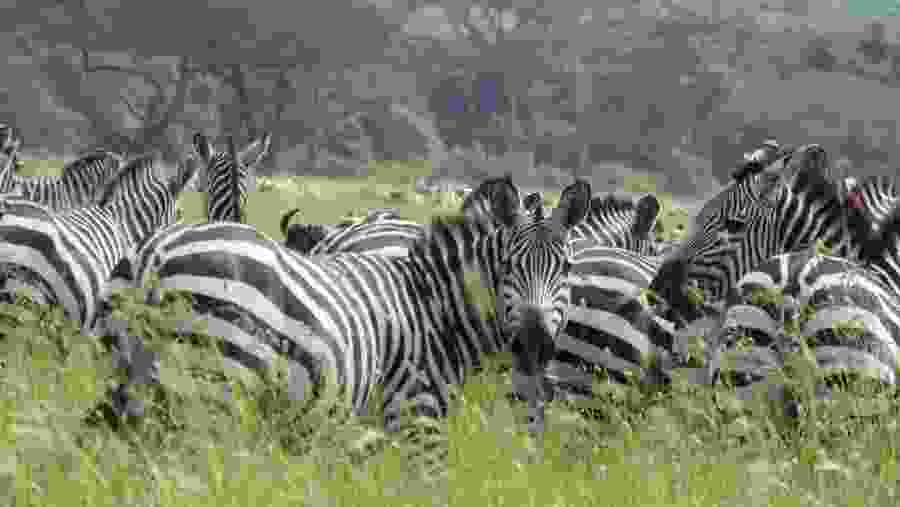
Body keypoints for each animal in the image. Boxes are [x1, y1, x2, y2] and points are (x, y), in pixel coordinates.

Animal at [121, 176, 591, 476]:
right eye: (509, 266)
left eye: (567, 269)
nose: (533, 345)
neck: (434, 308)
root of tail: (156, 252)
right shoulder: (417, 417)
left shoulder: (366, 434)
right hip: (212, 386)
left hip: (143, 390)